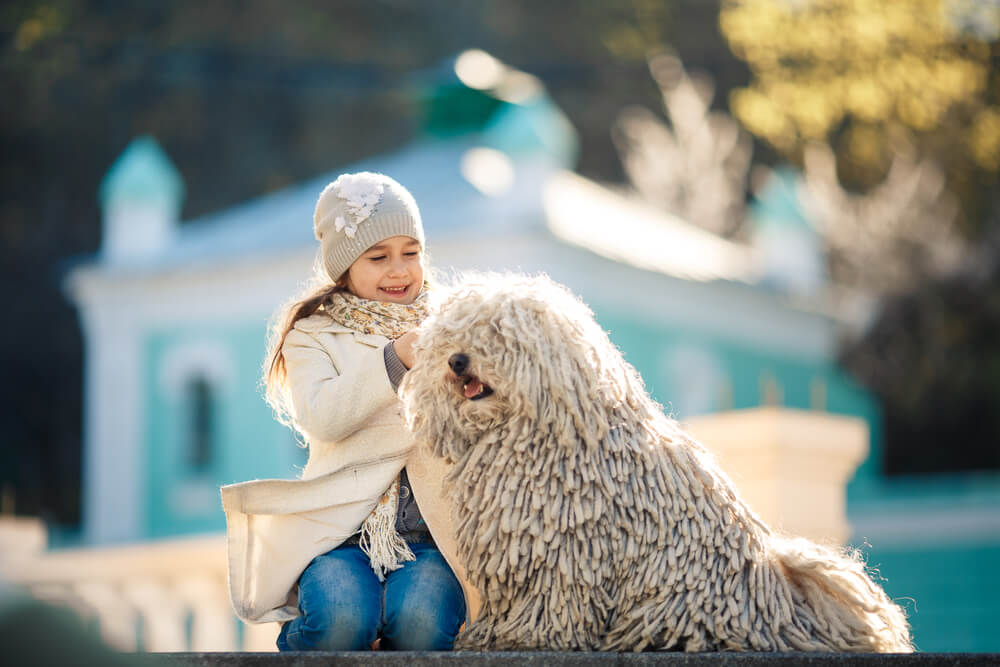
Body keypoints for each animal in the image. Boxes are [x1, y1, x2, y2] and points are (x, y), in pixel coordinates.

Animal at [396, 274, 908, 656]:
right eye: (451, 335)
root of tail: (778, 602)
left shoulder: (570, 544)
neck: (527, 431)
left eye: (497, 333)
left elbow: (555, 594)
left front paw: (529, 636)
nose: (457, 361)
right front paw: (493, 633)